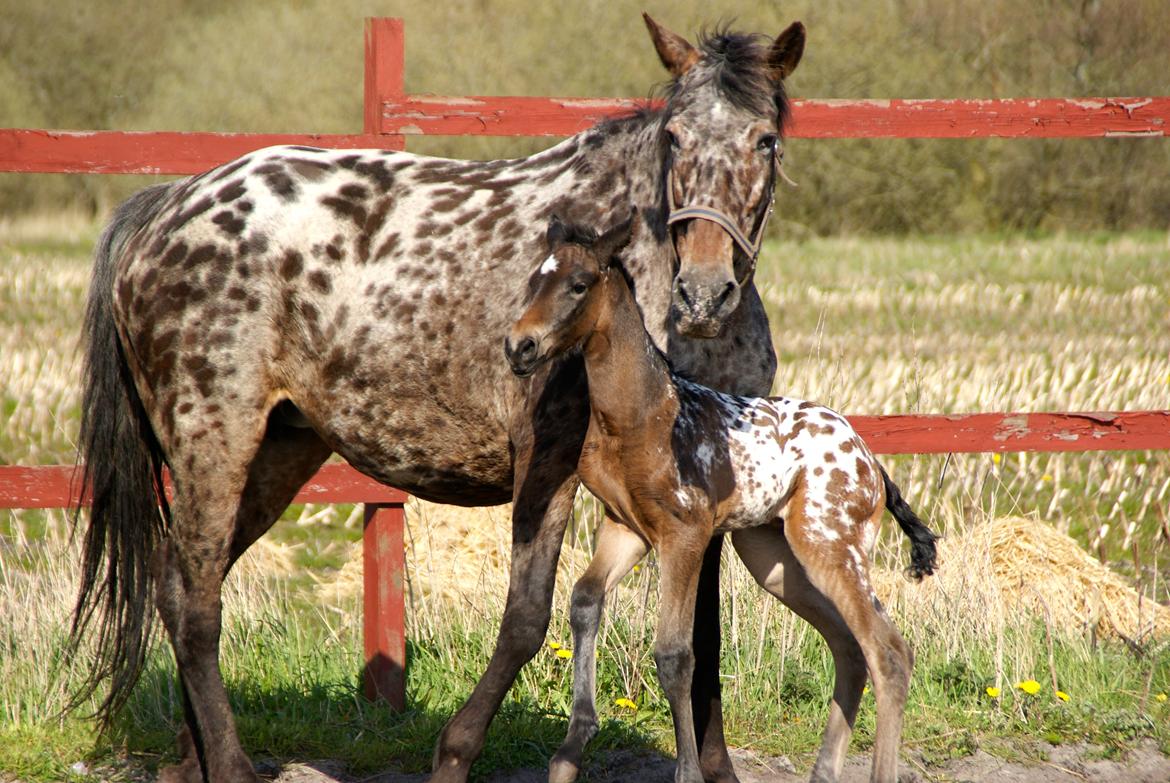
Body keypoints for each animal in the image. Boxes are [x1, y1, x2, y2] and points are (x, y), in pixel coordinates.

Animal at [68, 12, 809, 781]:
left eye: (765, 139)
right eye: (675, 137)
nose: (705, 292)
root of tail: (169, 205)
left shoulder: (707, 488)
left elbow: (703, 636)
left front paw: (717, 765)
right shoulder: (548, 459)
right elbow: (526, 619)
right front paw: (454, 752)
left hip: (277, 451)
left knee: (185, 580)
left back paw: (196, 758)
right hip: (213, 442)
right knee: (194, 604)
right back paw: (232, 764)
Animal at [505, 215, 940, 781]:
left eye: (578, 285)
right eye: (536, 279)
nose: (519, 347)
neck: (641, 415)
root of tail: (870, 461)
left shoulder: (684, 536)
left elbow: (675, 653)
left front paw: (687, 771)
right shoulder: (625, 528)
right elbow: (584, 600)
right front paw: (572, 746)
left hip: (830, 546)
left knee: (887, 652)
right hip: (775, 560)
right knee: (849, 649)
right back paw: (823, 771)